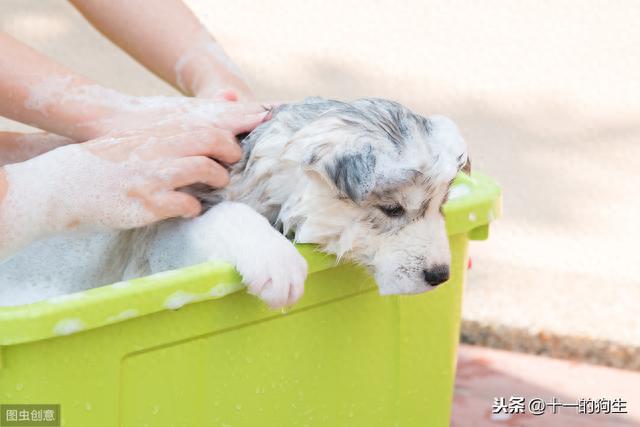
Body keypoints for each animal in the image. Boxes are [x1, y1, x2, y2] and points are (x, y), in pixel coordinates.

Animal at [0, 98, 468, 310]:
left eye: (440, 206)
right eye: (392, 210)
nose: (441, 276)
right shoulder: (163, 239)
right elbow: (230, 214)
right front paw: (277, 262)